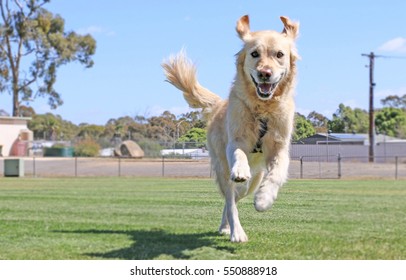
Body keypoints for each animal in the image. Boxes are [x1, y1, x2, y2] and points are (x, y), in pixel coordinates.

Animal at [162, 15, 298, 242]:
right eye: (254, 54)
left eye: (279, 54)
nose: (265, 73)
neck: (262, 108)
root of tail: (218, 104)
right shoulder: (236, 140)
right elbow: (239, 154)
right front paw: (241, 169)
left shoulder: (279, 147)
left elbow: (277, 174)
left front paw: (264, 199)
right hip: (222, 168)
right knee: (230, 199)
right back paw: (235, 231)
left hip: (253, 181)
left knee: (234, 197)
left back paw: (229, 223)